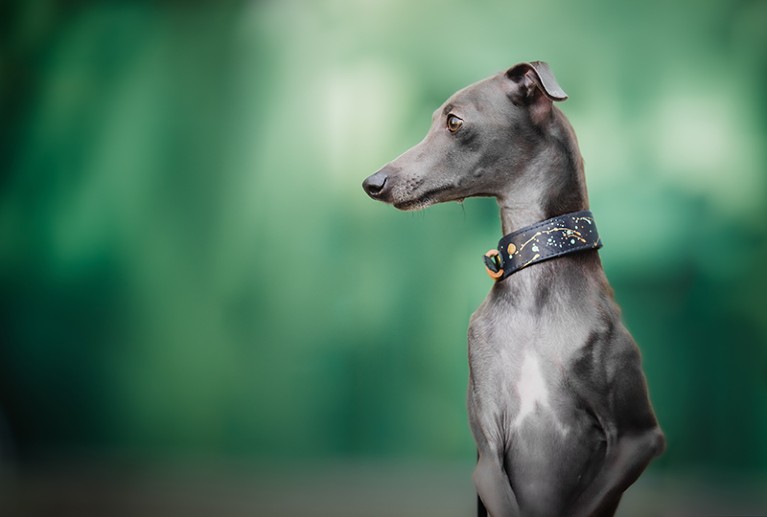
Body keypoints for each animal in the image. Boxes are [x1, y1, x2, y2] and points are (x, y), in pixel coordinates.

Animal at [364, 61, 664, 516]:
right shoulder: (487, 451)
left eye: (454, 122)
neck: (534, 280)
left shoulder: (638, 437)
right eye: (433, 120)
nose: (373, 182)